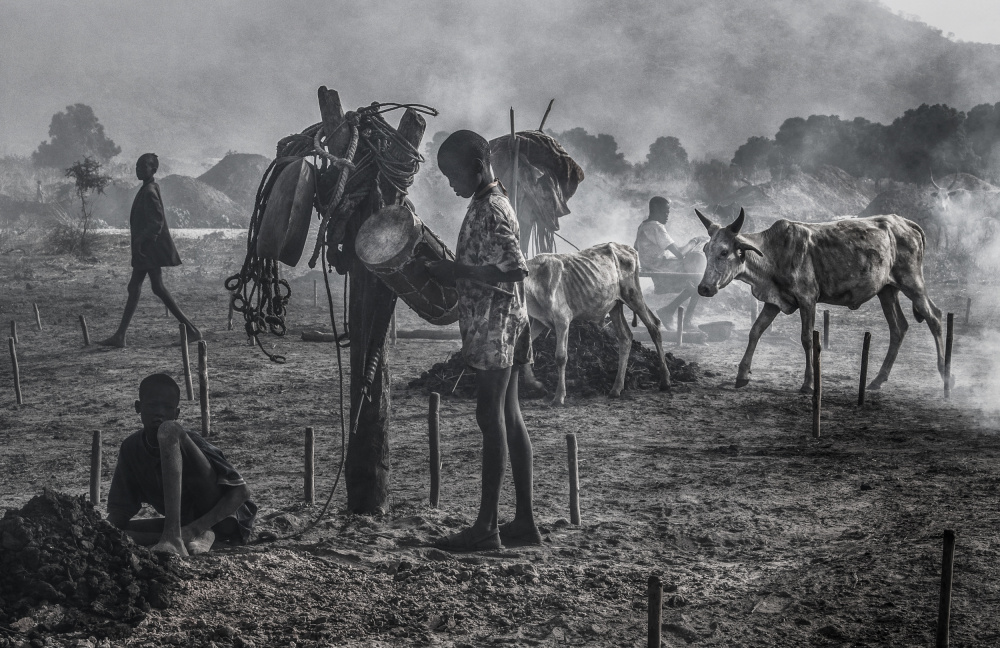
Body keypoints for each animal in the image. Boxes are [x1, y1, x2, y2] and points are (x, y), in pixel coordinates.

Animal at [524, 243, 672, 404]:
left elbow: (561, 357)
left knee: (654, 326)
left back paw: (665, 381)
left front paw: (559, 396)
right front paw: (537, 385)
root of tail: (628, 248)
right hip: (615, 305)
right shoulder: (540, 321)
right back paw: (616, 389)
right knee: (626, 336)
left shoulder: (562, 319)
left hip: (633, 295)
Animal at [696, 210, 944, 392]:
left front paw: (808, 384)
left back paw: (945, 374)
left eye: (724, 252)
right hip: (887, 290)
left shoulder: (807, 299)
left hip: (912, 283)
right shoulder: (774, 301)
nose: (703, 288)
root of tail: (905, 223)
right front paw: (742, 375)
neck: (774, 253)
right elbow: (755, 331)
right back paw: (877, 380)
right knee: (898, 327)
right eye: (706, 250)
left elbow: (807, 339)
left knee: (935, 317)